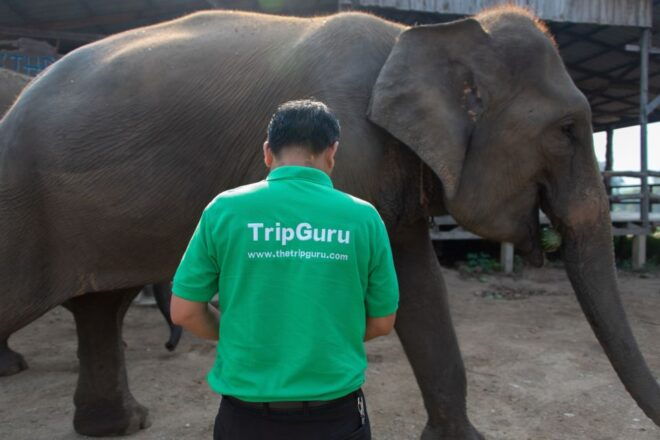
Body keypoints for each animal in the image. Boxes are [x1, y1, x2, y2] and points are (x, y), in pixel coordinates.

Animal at [0, 5, 658, 438]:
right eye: (568, 130)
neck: (416, 36)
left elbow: (418, 287)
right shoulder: (351, 155)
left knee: (100, 308)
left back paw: (121, 425)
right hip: (25, 207)